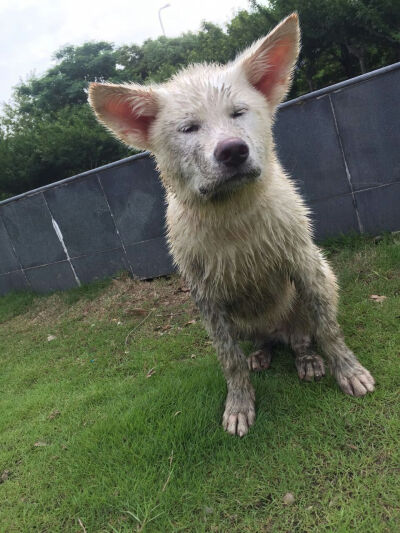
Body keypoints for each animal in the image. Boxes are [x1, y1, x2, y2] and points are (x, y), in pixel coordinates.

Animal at [88, 13, 376, 436]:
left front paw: (348, 370)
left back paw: (308, 360)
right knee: (261, 343)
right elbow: (230, 361)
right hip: (243, 322)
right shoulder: (206, 299)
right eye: (189, 128)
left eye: (238, 112)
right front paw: (239, 405)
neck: (234, 218)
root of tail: (277, 331)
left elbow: (328, 330)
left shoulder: (306, 265)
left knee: (303, 336)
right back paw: (262, 353)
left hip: (323, 281)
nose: (232, 151)